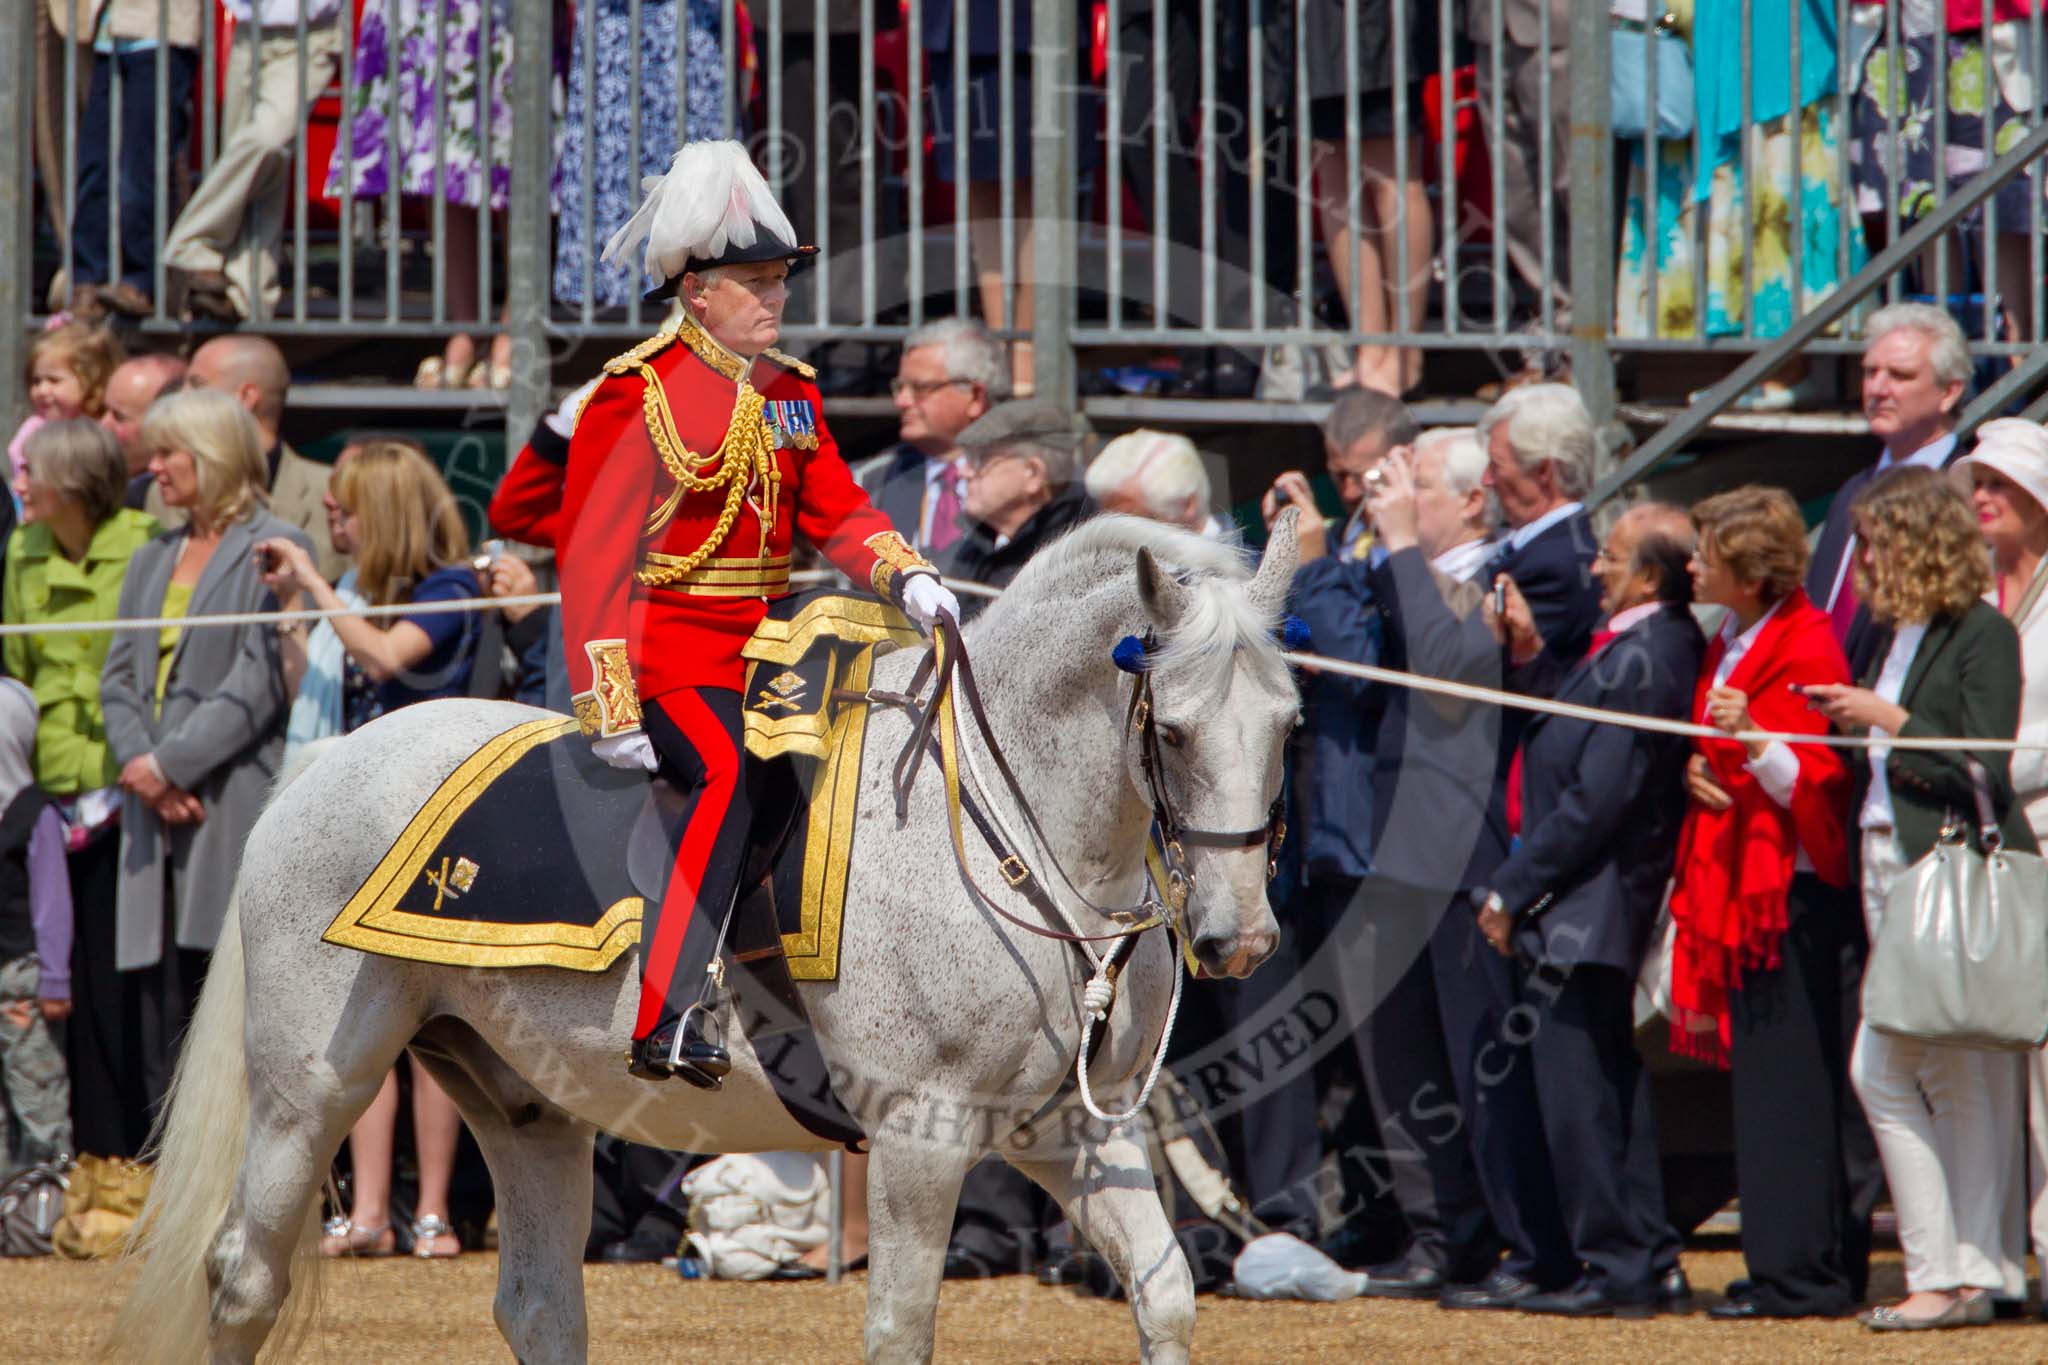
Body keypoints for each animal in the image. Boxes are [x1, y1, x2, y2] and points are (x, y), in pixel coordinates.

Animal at [108, 515, 1294, 1365]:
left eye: (1288, 723)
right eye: (1173, 731)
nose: (1238, 937)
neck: (1014, 834)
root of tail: (327, 760)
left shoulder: (1069, 1131)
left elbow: (1165, 1296)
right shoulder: (922, 1134)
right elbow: (900, 1330)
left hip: (524, 1105)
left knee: (541, 1306)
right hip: (310, 1089)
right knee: (243, 1279)